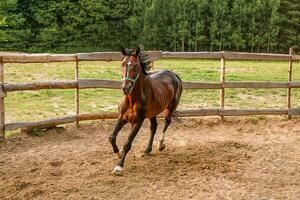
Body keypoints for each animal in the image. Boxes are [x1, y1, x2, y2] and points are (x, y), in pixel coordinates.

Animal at [108, 46, 182, 175]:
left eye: (136, 66)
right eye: (122, 64)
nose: (126, 88)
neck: (132, 99)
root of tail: (174, 75)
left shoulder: (138, 121)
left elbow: (128, 143)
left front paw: (119, 166)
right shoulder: (122, 117)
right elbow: (112, 137)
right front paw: (118, 153)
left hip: (171, 107)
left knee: (167, 122)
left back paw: (161, 145)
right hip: (153, 112)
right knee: (154, 127)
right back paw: (147, 150)